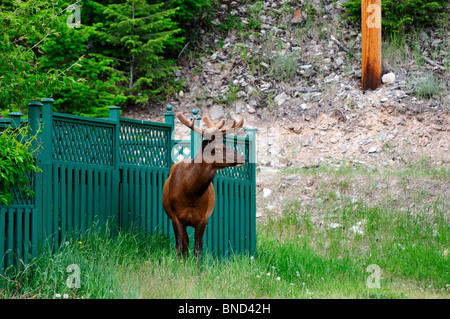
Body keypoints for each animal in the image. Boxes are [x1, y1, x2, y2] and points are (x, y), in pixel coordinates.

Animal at [163, 112, 246, 258]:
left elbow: (198, 249)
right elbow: (179, 247)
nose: (243, 158)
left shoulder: (203, 218)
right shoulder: (175, 216)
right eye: (217, 148)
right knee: (184, 244)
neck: (190, 193)